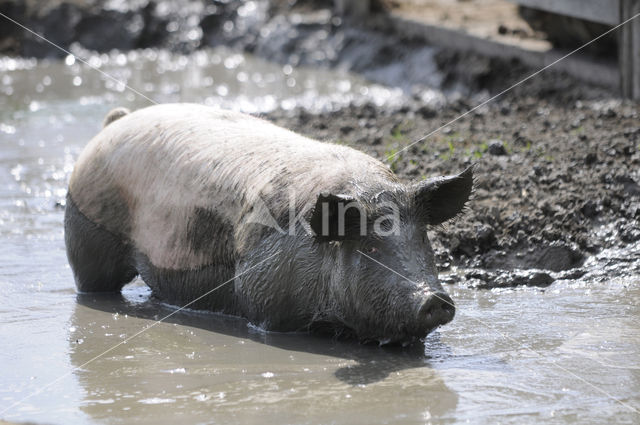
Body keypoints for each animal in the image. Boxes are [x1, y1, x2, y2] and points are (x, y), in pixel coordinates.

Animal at [65, 103, 472, 344]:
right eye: (370, 246)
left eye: (422, 240)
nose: (435, 299)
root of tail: (115, 121)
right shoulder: (262, 295)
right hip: (86, 231)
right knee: (92, 283)